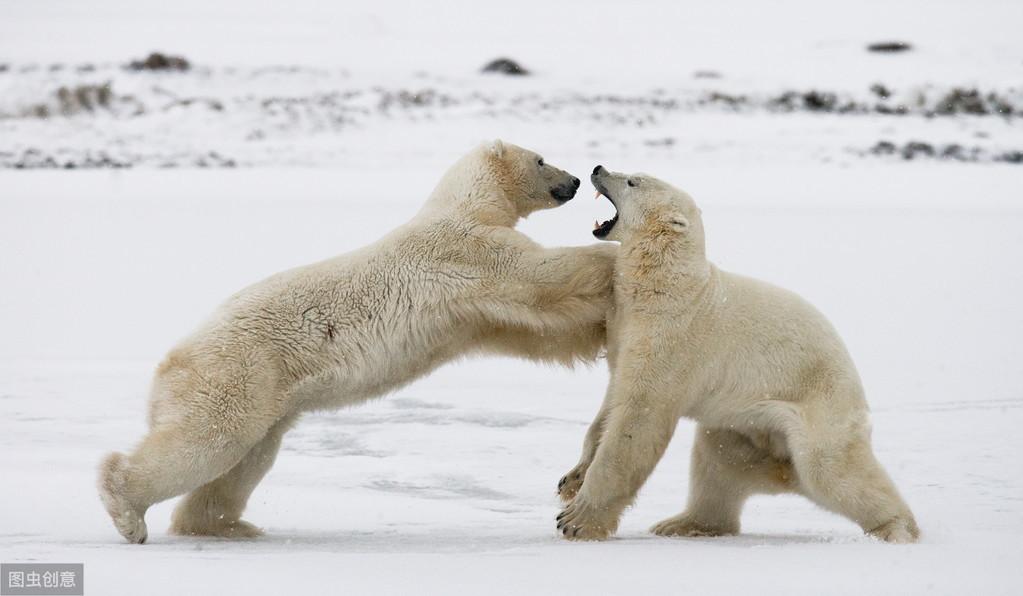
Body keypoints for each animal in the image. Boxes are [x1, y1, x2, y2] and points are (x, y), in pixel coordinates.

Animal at [99, 141, 617, 543]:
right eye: (542, 159)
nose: (574, 180)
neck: (462, 204)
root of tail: (169, 363)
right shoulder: (464, 252)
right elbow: (540, 274)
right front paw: (612, 262)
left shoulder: (472, 314)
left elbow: (532, 329)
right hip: (235, 374)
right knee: (207, 442)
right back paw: (128, 510)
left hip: (265, 398)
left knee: (245, 459)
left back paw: (224, 525)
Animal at [556, 165, 924, 543]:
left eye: (633, 181)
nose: (598, 169)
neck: (666, 285)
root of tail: (784, 471)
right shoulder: (624, 327)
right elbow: (613, 398)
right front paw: (571, 479)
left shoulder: (672, 336)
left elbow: (638, 419)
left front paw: (576, 519)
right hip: (747, 427)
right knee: (717, 463)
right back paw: (683, 523)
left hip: (820, 408)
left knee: (832, 469)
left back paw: (897, 528)